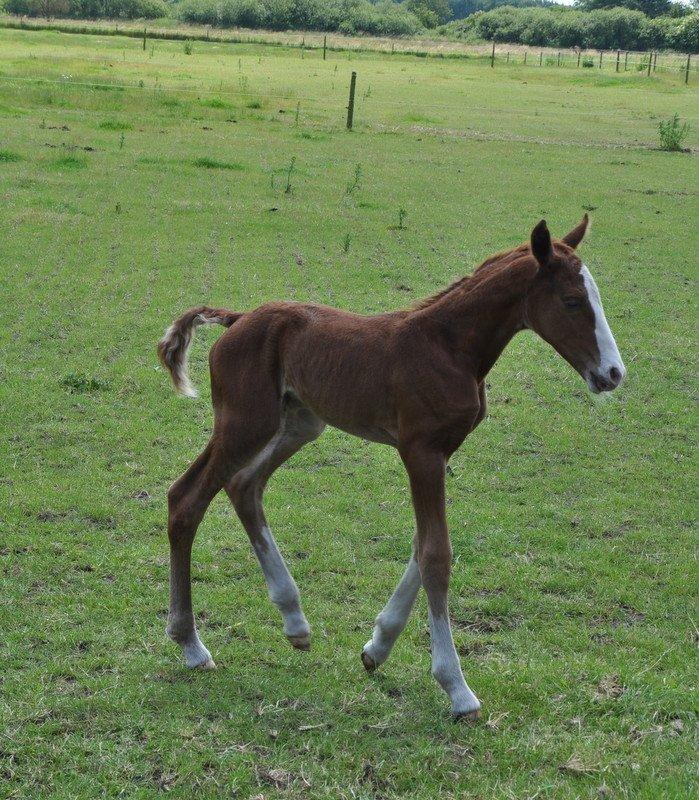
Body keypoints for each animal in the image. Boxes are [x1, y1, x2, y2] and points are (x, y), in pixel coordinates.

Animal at [160, 217, 628, 720]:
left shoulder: (441, 453)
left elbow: (422, 546)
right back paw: (191, 645)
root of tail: (238, 318)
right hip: (246, 423)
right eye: (572, 300)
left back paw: (294, 622)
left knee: (244, 485)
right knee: (185, 499)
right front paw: (457, 688)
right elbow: (436, 554)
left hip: (300, 423)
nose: (613, 373)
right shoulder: (419, 451)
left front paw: (377, 647)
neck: (449, 347)